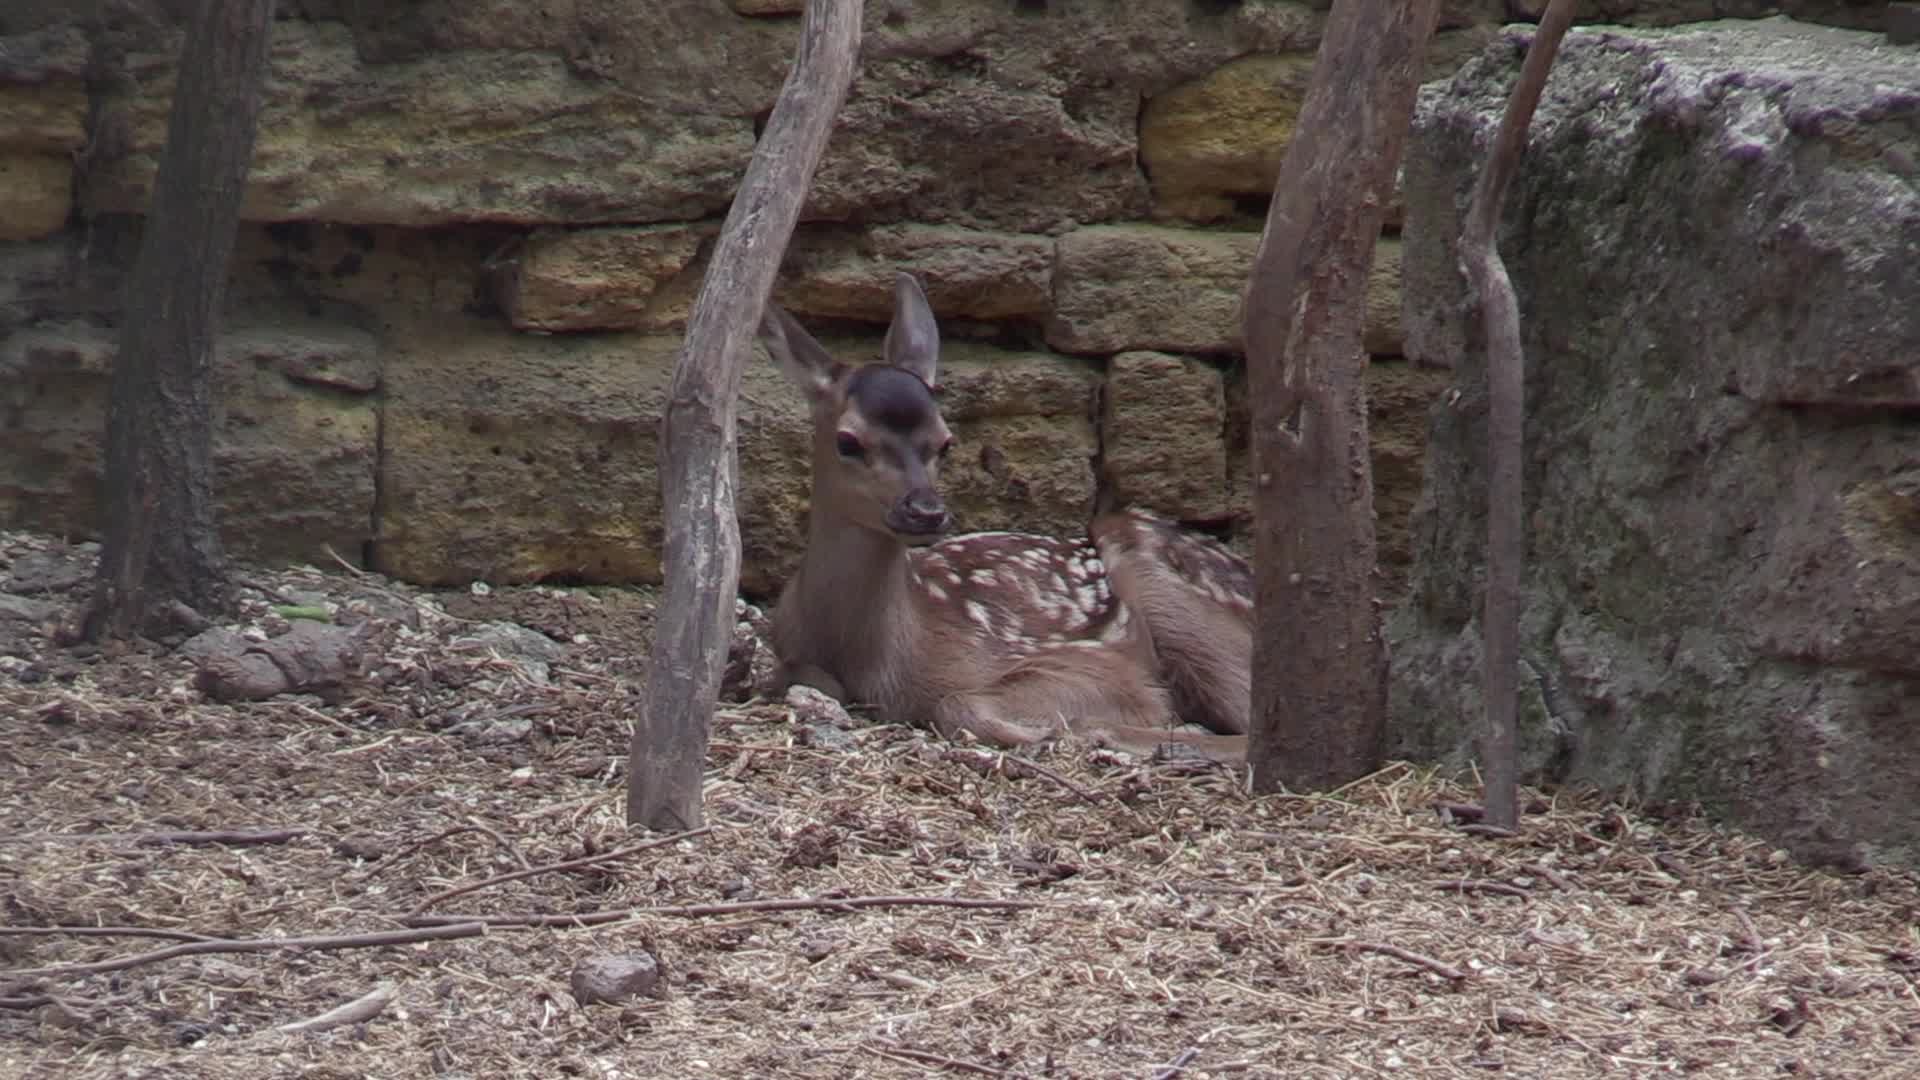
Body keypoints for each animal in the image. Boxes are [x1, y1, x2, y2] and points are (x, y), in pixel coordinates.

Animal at [759, 272, 1253, 763]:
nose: (926, 511)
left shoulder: (1097, 662)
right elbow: (794, 676)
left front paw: (1044, 732)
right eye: (847, 441)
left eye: (946, 442)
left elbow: (957, 702)